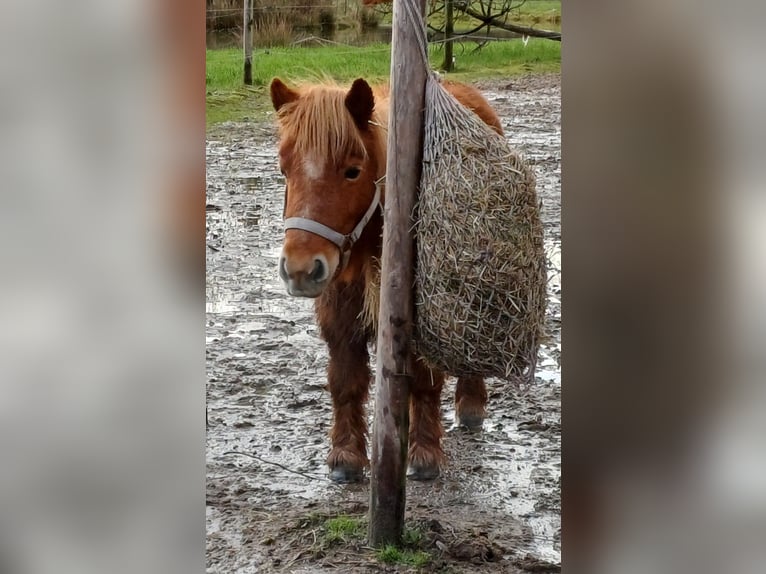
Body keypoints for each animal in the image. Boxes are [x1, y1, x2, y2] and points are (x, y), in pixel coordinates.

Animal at [270, 75, 504, 482]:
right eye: (284, 170)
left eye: (352, 170)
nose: (300, 269)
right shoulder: (340, 318)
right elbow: (345, 383)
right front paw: (345, 457)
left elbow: (425, 381)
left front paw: (424, 454)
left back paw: (472, 405)